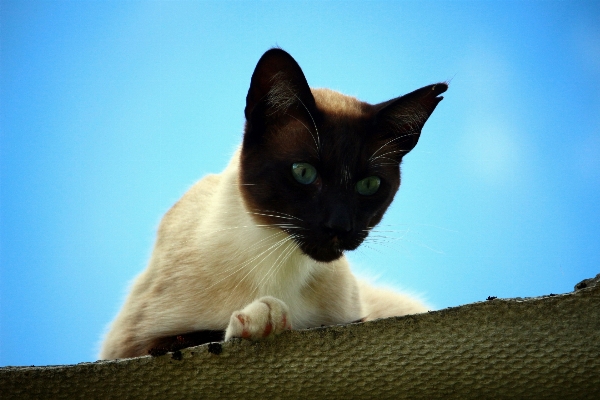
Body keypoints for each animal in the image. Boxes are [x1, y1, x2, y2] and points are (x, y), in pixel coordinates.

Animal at [98, 47, 446, 360]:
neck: (279, 263)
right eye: (303, 173)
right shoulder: (130, 346)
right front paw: (263, 317)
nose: (339, 226)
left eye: (369, 185)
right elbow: (198, 336)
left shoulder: (351, 318)